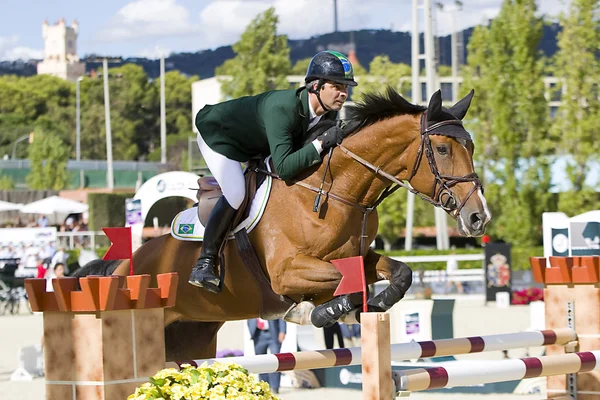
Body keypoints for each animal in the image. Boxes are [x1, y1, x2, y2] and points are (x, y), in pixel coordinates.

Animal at [75, 88, 490, 362]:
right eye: (442, 149)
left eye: (471, 147)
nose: (478, 217)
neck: (333, 191)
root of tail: (124, 266)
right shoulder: (286, 271)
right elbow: (341, 286)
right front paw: (315, 311)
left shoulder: (355, 256)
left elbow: (399, 273)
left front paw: (373, 303)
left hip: (190, 337)